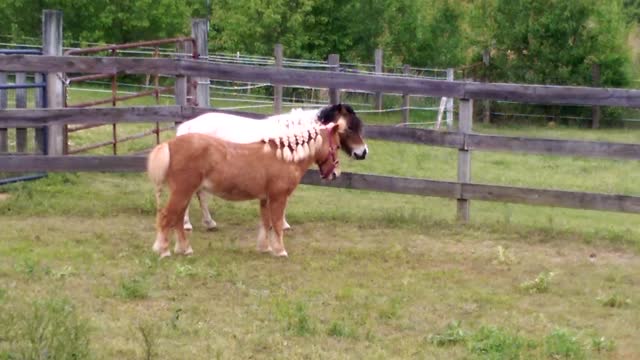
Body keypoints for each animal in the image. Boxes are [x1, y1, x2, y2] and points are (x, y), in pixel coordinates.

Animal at [147, 119, 344, 258]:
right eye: (337, 146)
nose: (335, 175)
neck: (284, 158)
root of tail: (170, 144)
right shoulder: (278, 198)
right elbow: (277, 223)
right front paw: (280, 251)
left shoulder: (265, 199)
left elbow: (266, 223)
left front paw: (265, 248)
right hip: (182, 192)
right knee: (166, 217)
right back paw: (164, 251)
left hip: (184, 194)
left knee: (178, 219)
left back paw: (185, 249)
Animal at [175, 102, 368, 231]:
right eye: (350, 127)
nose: (363, 152)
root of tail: (187, 127)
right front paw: (282, 224)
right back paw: (186, 224)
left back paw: (209, 223)